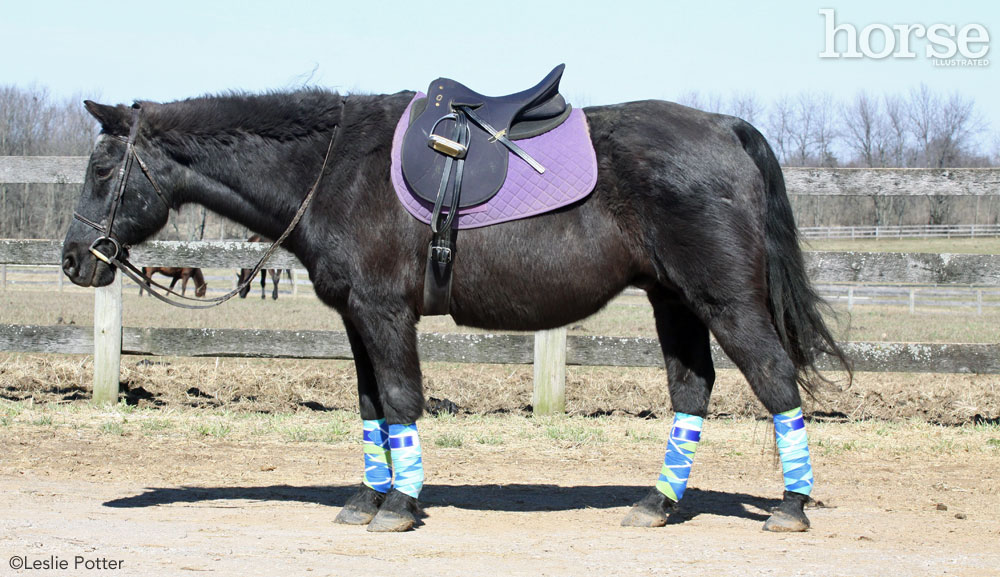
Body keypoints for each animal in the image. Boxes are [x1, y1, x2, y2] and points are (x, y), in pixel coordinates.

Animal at [60, 84, 844, 532]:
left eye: (101, 168)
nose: (72, 259)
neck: (336, 167)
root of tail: (724, 127)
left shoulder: (384, 313)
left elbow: (403, 400)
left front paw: (401, 506)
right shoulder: (355, 317)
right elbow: (372, 405)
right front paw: (368, 499)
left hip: (725, 301)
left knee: (776, 381)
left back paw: (791, 506)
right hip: (672, 301)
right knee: (692, 391)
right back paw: (658, 503)